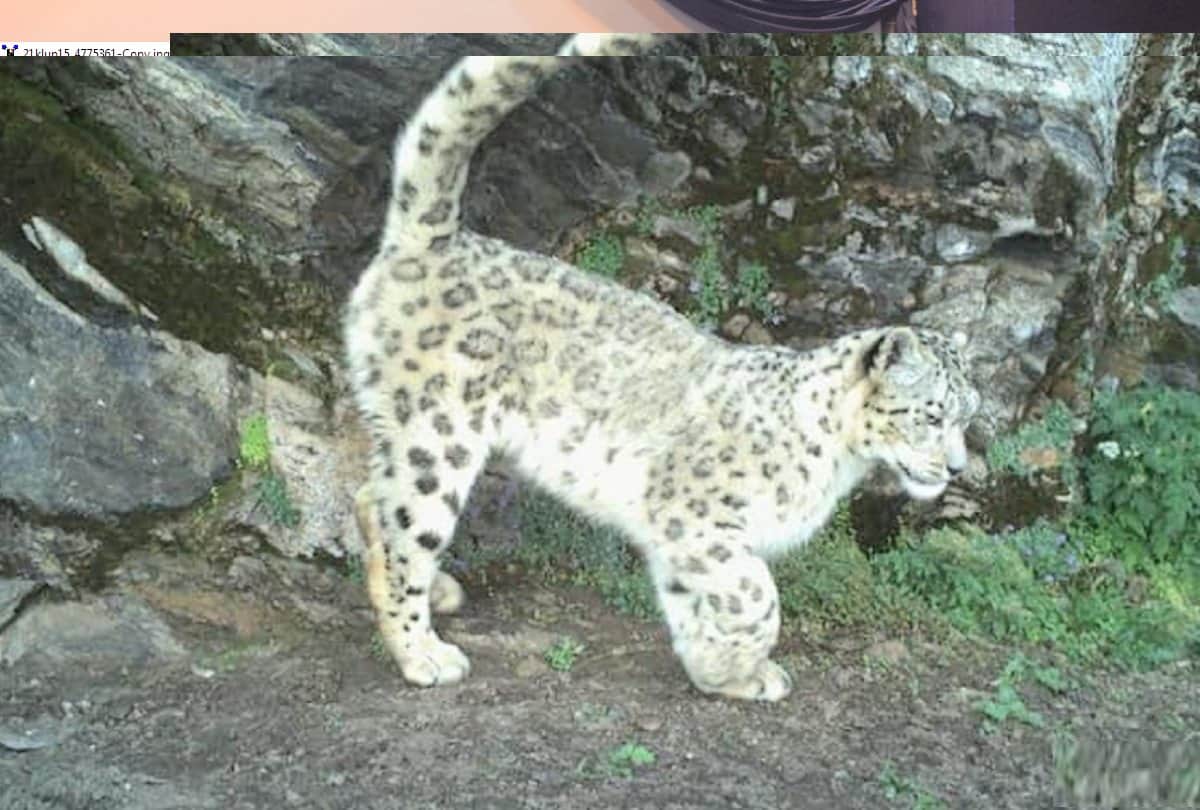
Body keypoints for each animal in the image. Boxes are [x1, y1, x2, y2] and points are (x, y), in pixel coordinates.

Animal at [343, 33, 981, 701]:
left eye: (969, 416)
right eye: (932, 415)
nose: (957, 468)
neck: (839, 464)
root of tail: (437, 240)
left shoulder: (684, 541)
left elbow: (694, 600)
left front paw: (721, 670)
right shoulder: (695, 515)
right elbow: (758, 596)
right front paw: (745, 664)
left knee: (371, 497)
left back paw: (438, 591)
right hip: (439, 434)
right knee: (407, 529)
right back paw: (423, 652)